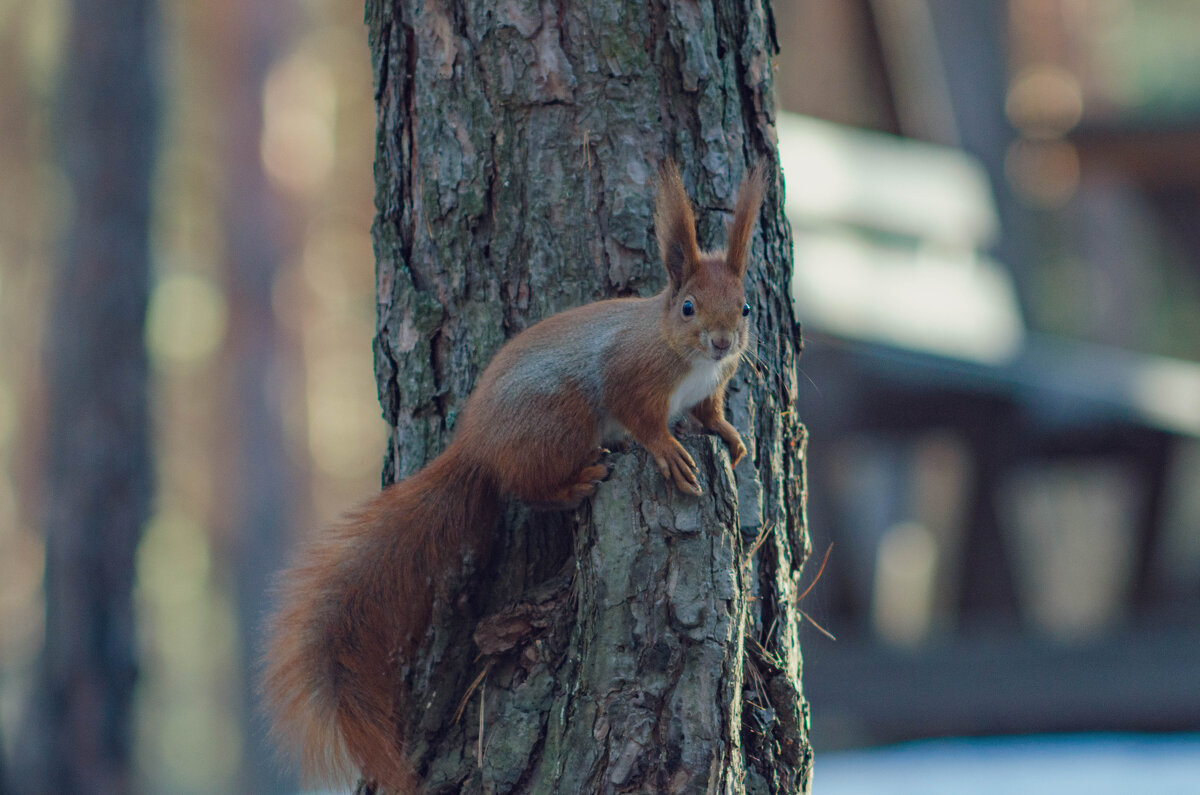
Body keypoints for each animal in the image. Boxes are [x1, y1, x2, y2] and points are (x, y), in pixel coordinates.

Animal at [266, 160, 763, 792]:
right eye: (689, 307)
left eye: (744, 307)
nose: (724, 342)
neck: (685, 356)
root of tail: (476, 447)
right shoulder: (630, 378)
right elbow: (644, 422)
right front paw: (669, 451)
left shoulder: (710, 386)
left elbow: (711, 413)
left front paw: (730, 436)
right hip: (562, 420)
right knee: (530, 488)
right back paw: (578, 481)